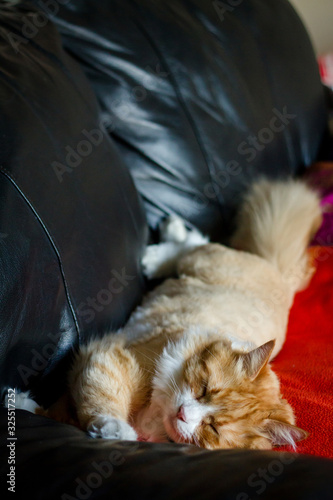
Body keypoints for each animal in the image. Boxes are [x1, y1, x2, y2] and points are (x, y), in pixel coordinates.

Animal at [11, 179, 320, 450]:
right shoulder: (109, 359)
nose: (183, 413)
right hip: (202, 261)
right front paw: (116, 430)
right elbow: (94, 402)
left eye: (213, 427)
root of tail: (279, 273)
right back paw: (161, 244)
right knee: (192, 245)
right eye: (204, 389)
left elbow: (64, 411)